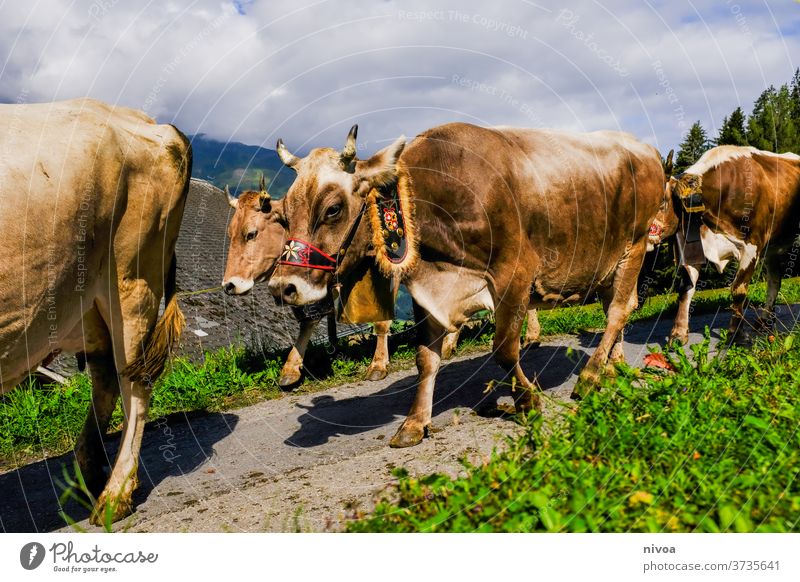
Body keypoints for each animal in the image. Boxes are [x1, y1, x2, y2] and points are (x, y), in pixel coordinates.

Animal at [0, 98, 191, 528]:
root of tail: (152, 123)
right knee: (105, 375)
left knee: (135, 382)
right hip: (82, 297)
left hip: (132, 280)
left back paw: (115, 495)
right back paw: (90, 469)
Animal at [262, 122, 664, 448]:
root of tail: (645, 148)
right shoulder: (428, 293)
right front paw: (414, 423)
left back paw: (591, 376)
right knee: (620, 309)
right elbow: (426, 359)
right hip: (607, 266)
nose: (283, 287)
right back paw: (611, 366)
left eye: (333, 209)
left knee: (617, 312)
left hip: (634, 245)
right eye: (284, 213)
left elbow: (504, 349)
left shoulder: (515, 275)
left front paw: (527, 400)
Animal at [652, 146, 800, 344]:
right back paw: (763, 322)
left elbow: (738, 290)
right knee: (774, 281)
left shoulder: (751, 247)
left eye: (661, 201)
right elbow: (686, 290)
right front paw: (678, 334)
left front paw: (736, 334)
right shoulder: (694, 247)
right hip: (773, 247)